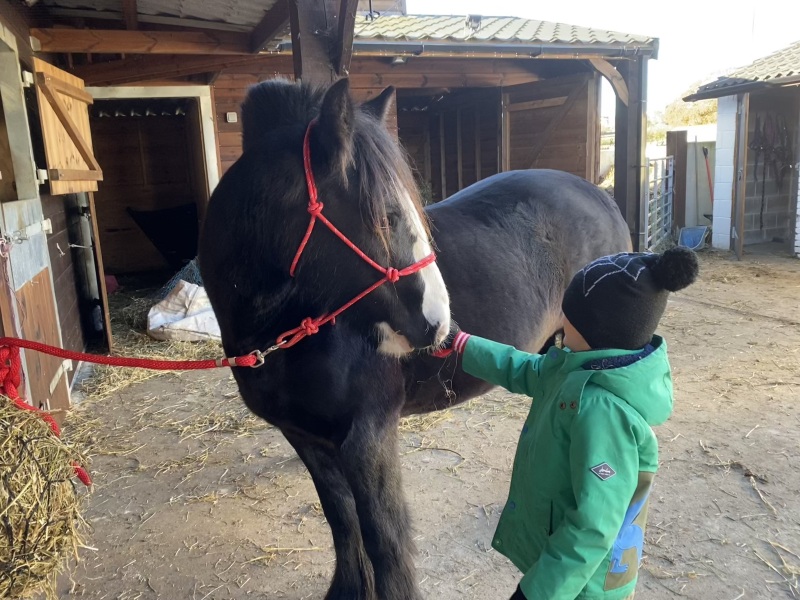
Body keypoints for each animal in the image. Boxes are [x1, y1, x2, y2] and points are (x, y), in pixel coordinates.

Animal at [199, 77, 631, 600]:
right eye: (386, 217)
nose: (439, 323)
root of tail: (601, 195)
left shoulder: (368, 437)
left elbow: (384, 538)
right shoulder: (307, 439)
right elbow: (342, 521)